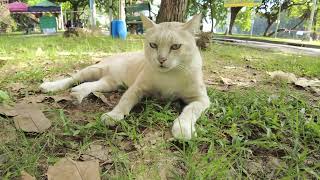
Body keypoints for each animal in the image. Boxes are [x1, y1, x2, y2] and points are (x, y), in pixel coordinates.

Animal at [39, 14, 210, 140]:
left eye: (175, 46)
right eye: (153, 45)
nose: (161, 60)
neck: (169, 75)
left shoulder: (201, 99)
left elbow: (190, 110)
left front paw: (183, 128)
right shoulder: (137, 88)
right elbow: (125, 101)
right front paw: (114, 115)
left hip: (109, 83)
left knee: (91, 85)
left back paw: (79, 92)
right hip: (92, 70)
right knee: (71, 79)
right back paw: (51, 86)